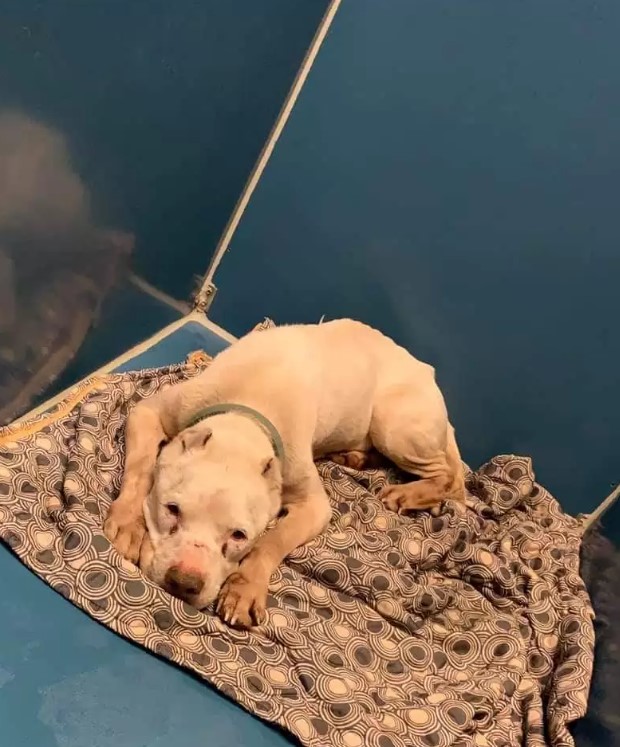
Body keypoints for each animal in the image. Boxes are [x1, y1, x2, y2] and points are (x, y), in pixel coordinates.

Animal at [105, 318, 464, 628]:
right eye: (172, 509)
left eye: (239, 536)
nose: (184, 582)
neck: (246, 419)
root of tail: (424, 368)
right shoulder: (149, 412)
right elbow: (139, 468)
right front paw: (128, 523)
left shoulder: (313, 505)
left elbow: (274, 540)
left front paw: (246, 587)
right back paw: (355, 458)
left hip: (394, 422)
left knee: (445, 476)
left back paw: (407, 492)